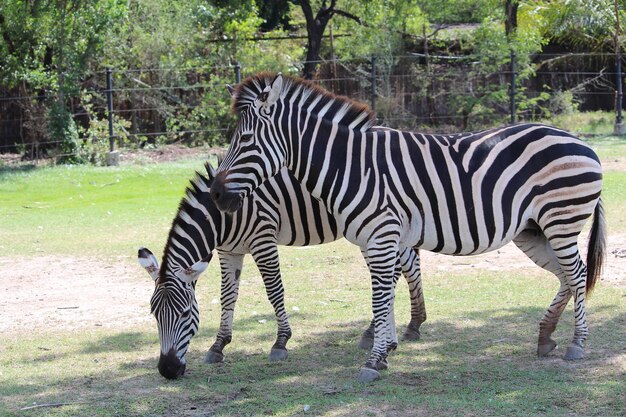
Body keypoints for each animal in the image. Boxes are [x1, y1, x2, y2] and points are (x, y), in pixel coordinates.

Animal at [138, 162, 426, 376]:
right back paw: (388, 335)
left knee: (401, 269)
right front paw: (218, 346)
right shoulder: (229, 251)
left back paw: (409, 326)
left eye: (186, 313)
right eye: (154, 314)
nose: (167, 370)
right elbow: (228, 297)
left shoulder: (262, 239)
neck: (221, 218)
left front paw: (281, 342)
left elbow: (274, 291)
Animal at [210, 73, 604, 382]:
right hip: (533, 230)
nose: (215, 194)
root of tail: (580, 141)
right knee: (566, 276)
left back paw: (577, 343)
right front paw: (385, 349)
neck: (351, 166)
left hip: (561, 221)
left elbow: (381, 295)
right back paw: (546, 336)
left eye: (245, 141)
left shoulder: (382, 235)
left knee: (578, 272)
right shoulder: (376, 239)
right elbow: (384, 293)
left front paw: (375, 359)